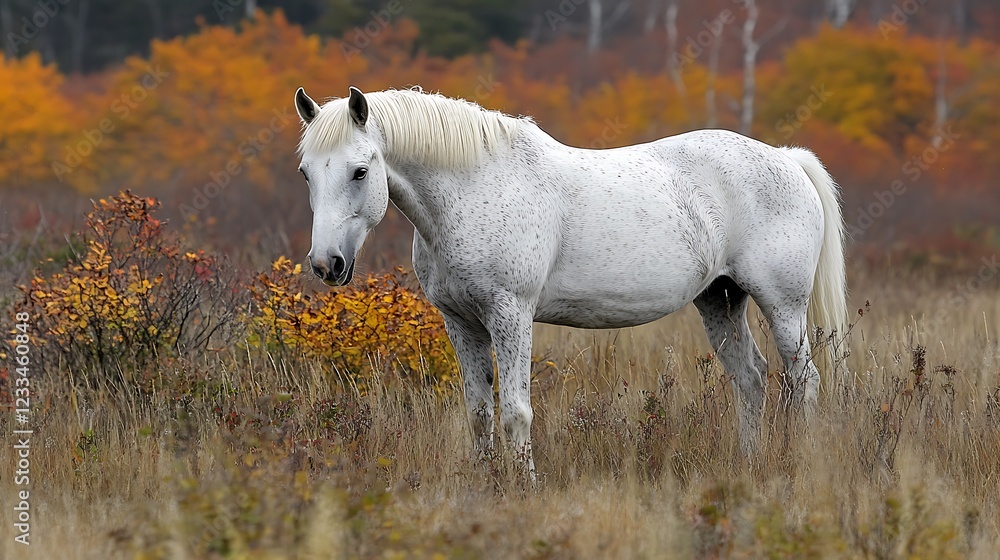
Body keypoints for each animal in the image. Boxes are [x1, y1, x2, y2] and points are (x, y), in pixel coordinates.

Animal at [292, 86, 847, 478]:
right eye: (306, 174)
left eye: (360, 171)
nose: (327, 264)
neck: (473, 188)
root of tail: (786, 158)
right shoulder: (461, 322)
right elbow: (479, 413)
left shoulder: (510, 315)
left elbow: (516, 411)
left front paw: (524, 488)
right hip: (720, 300)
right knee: (751, 379)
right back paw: (749, 465)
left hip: (783, 306)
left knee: (804, 379)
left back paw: (802, 462)